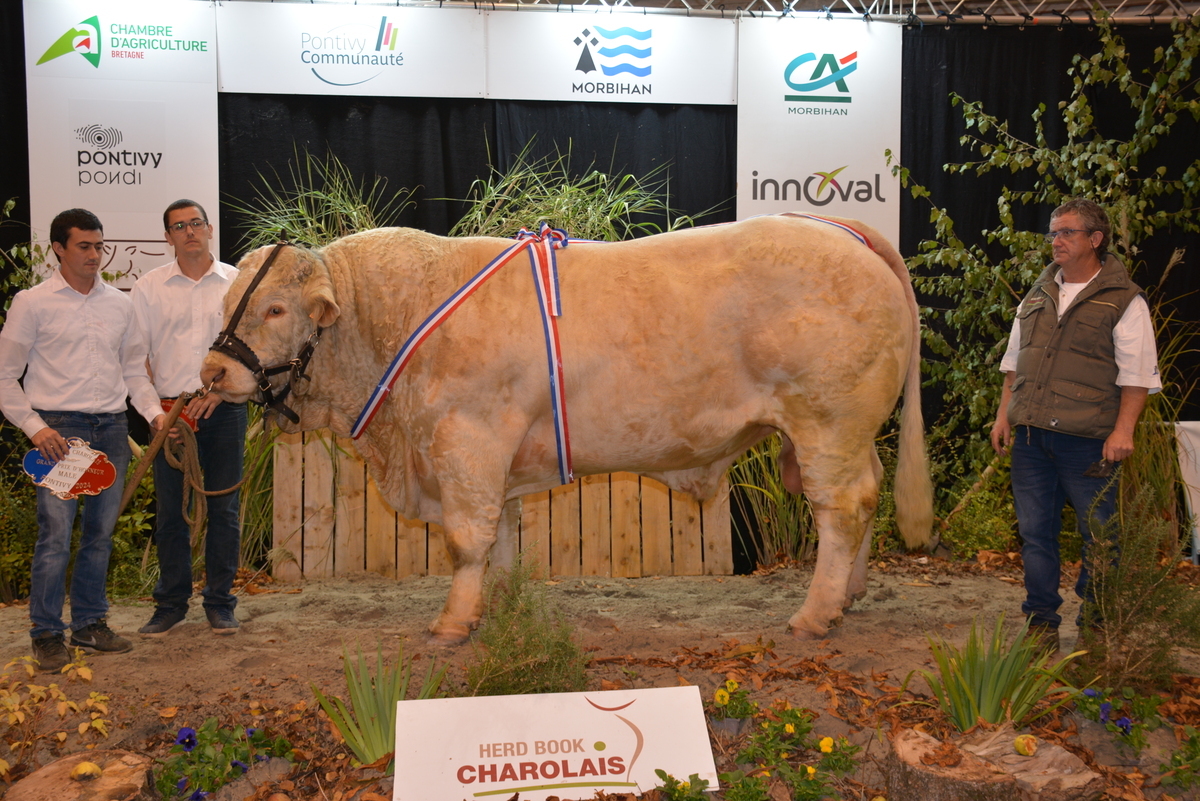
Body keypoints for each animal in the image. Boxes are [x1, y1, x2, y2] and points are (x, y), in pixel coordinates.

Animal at [201, 212, 931, 642]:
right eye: (227, 300)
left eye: (274, 308)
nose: (212, 371)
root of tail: (845, 232)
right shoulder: (489, 460)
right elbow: (500, 538)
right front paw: (494, 607)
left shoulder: (465, 441)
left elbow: (467, 539)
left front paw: (452, 621)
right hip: (846, 433)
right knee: (865, 497)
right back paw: (848, 597)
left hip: (826, 420)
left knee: (843, 507)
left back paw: (814, 613)